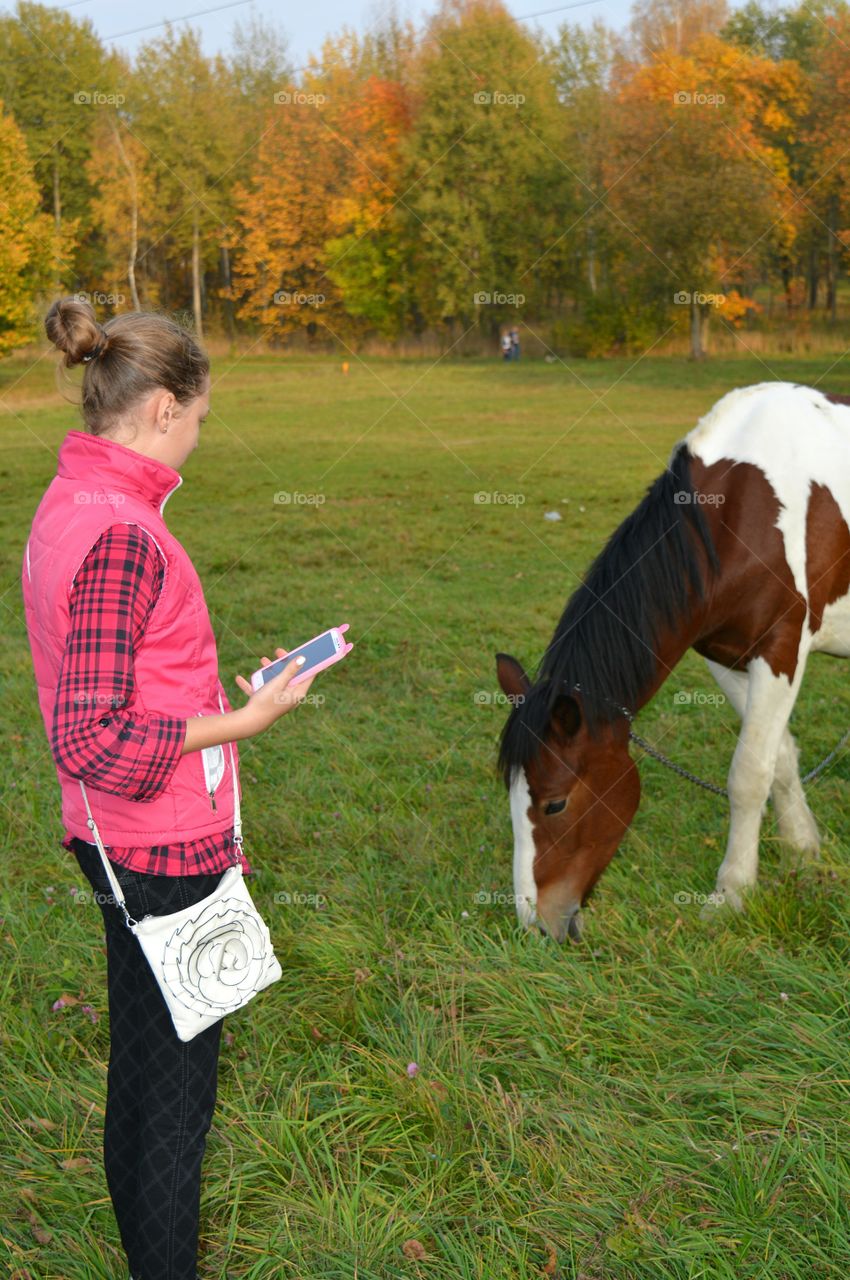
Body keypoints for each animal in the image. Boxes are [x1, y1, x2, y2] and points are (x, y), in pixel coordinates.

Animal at [494, 378, 850, 942]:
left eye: (555, 803)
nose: (536, 924)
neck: (741, 513)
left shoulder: (781, 648)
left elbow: (749, 773)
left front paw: (731, 895)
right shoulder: (728, 657)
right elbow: (780, 760)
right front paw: (803, 853)